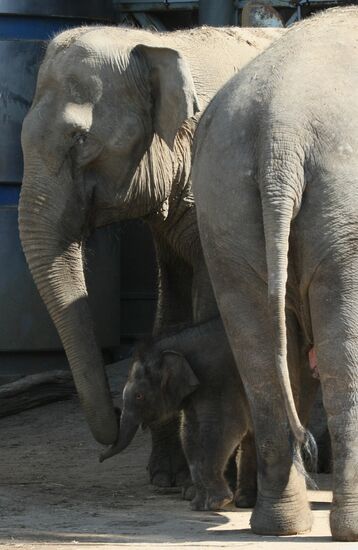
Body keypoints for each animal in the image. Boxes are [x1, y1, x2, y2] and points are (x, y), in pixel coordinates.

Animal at [18, 24, 282, 488]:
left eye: (80, 140)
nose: (117, 408)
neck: (159, 43)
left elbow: (207, 306)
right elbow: (170, 307)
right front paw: (167, 478)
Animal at [100, 320, 258, 512]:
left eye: (139, 396)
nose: (99, 458)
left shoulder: (220, 380)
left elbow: (222, 429)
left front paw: (217, 502)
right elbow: (189, 432)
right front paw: (197, 504)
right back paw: (245, 501)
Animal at [193, 7, 358, 544]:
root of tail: (279, 131)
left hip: (222, 204)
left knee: (260, 353)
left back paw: (278, 526)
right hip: (341, 212)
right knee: (340, 355)